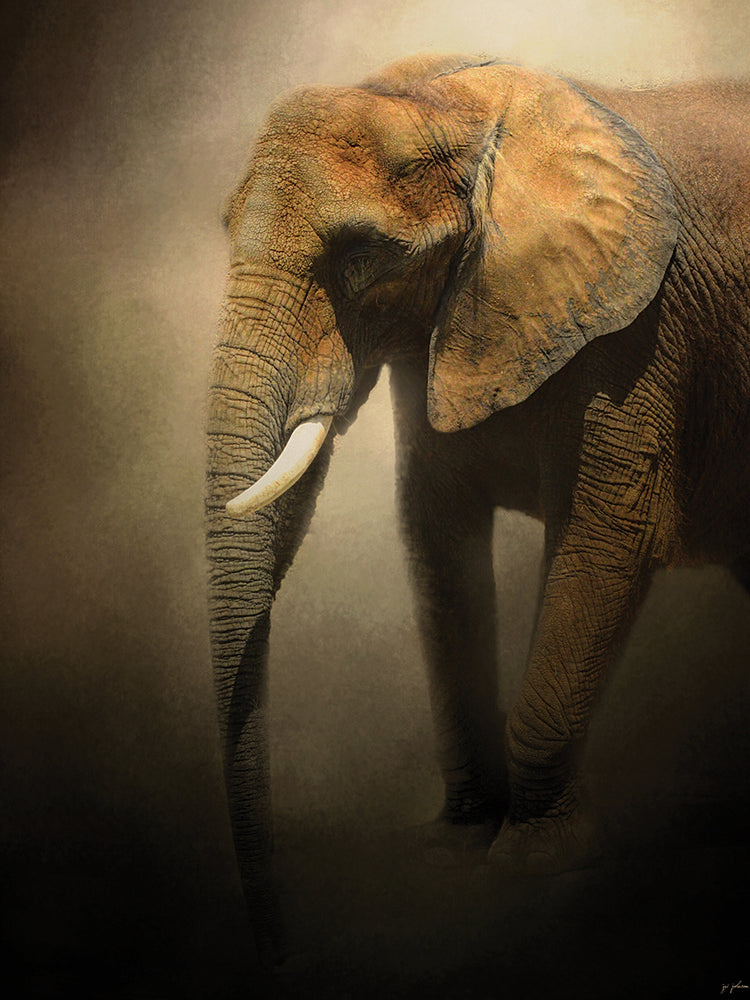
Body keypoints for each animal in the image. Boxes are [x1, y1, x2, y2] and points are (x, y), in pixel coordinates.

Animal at [205, 52, 750, 963]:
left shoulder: (639, 339)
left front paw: (536, 858)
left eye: (362, 257)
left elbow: (610, 541)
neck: (456, 103)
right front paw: (459, 845)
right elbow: (436, 540)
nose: (277, 951)